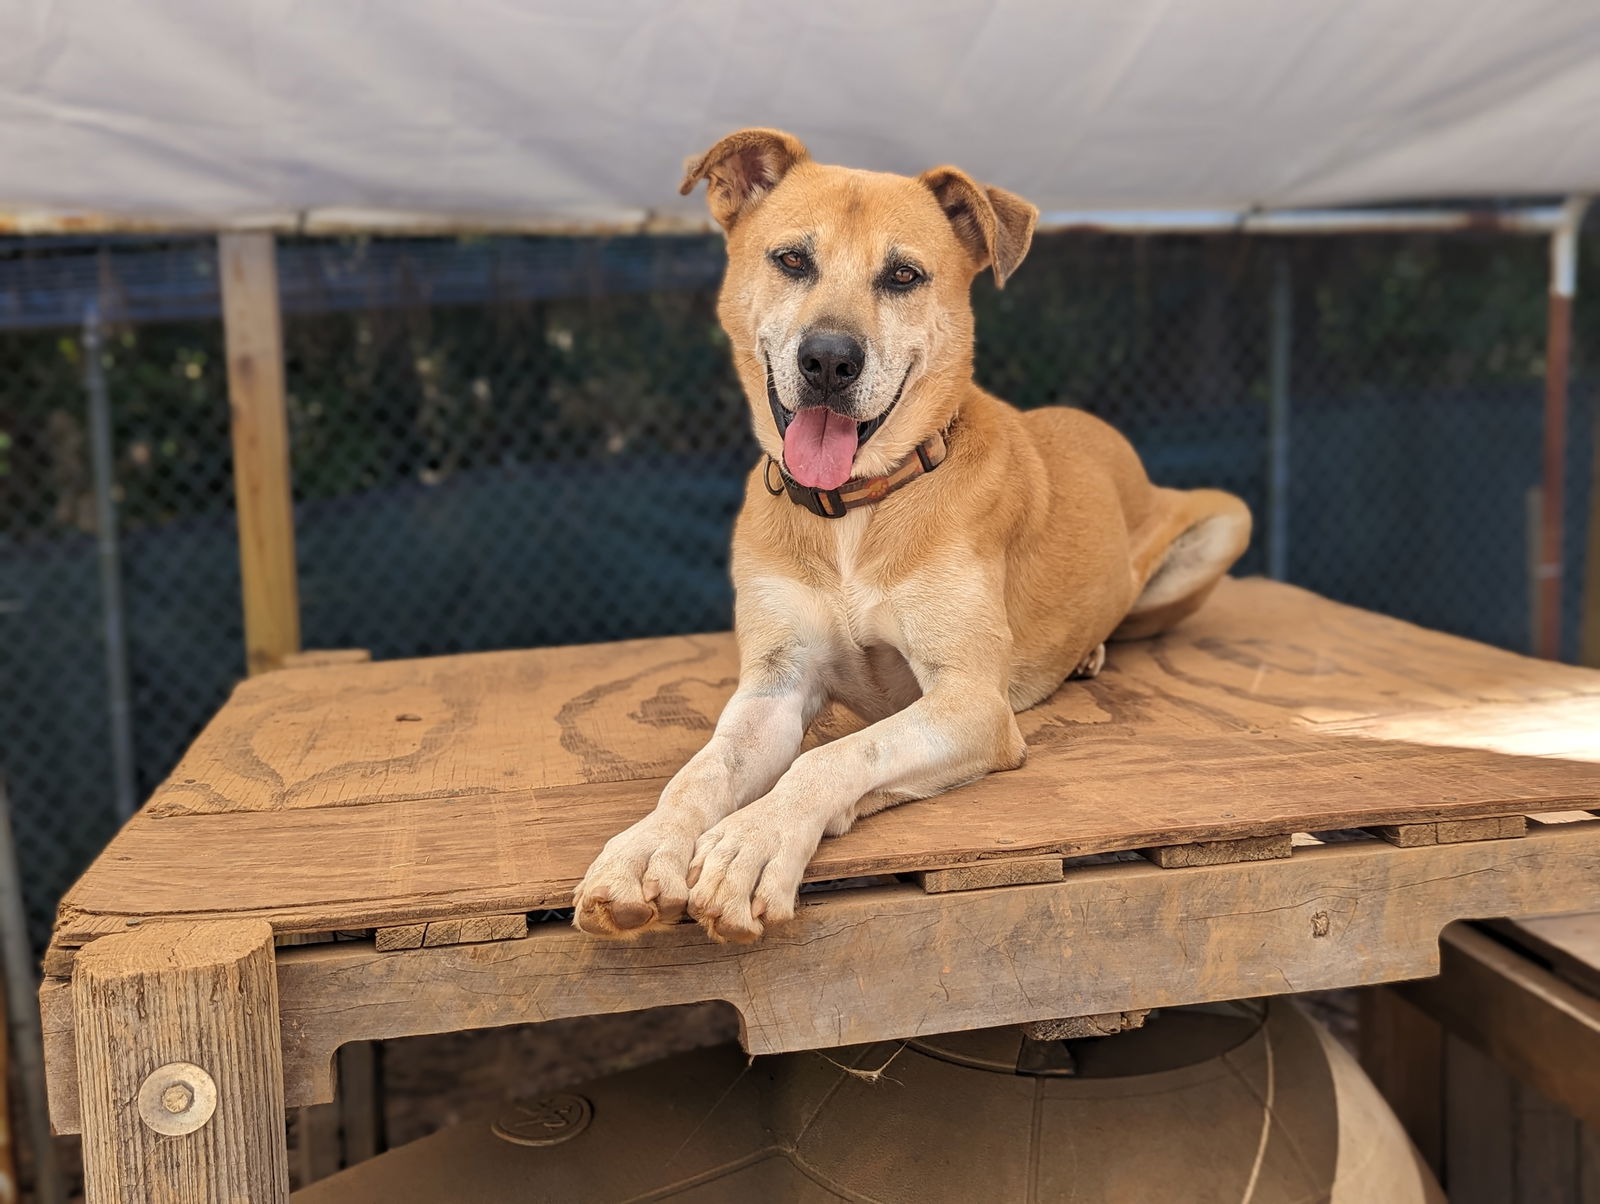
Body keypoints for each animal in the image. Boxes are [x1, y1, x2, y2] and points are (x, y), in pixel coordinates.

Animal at [576, 129, 1248, 941]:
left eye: (903, 275)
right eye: (792, 260)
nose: (829, 359)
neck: (855, 510)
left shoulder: (972, 704)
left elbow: (832, 758)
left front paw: (754, 840)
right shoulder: (776, 684)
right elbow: (703, 769)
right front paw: (645, 847)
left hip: (1224, 521)